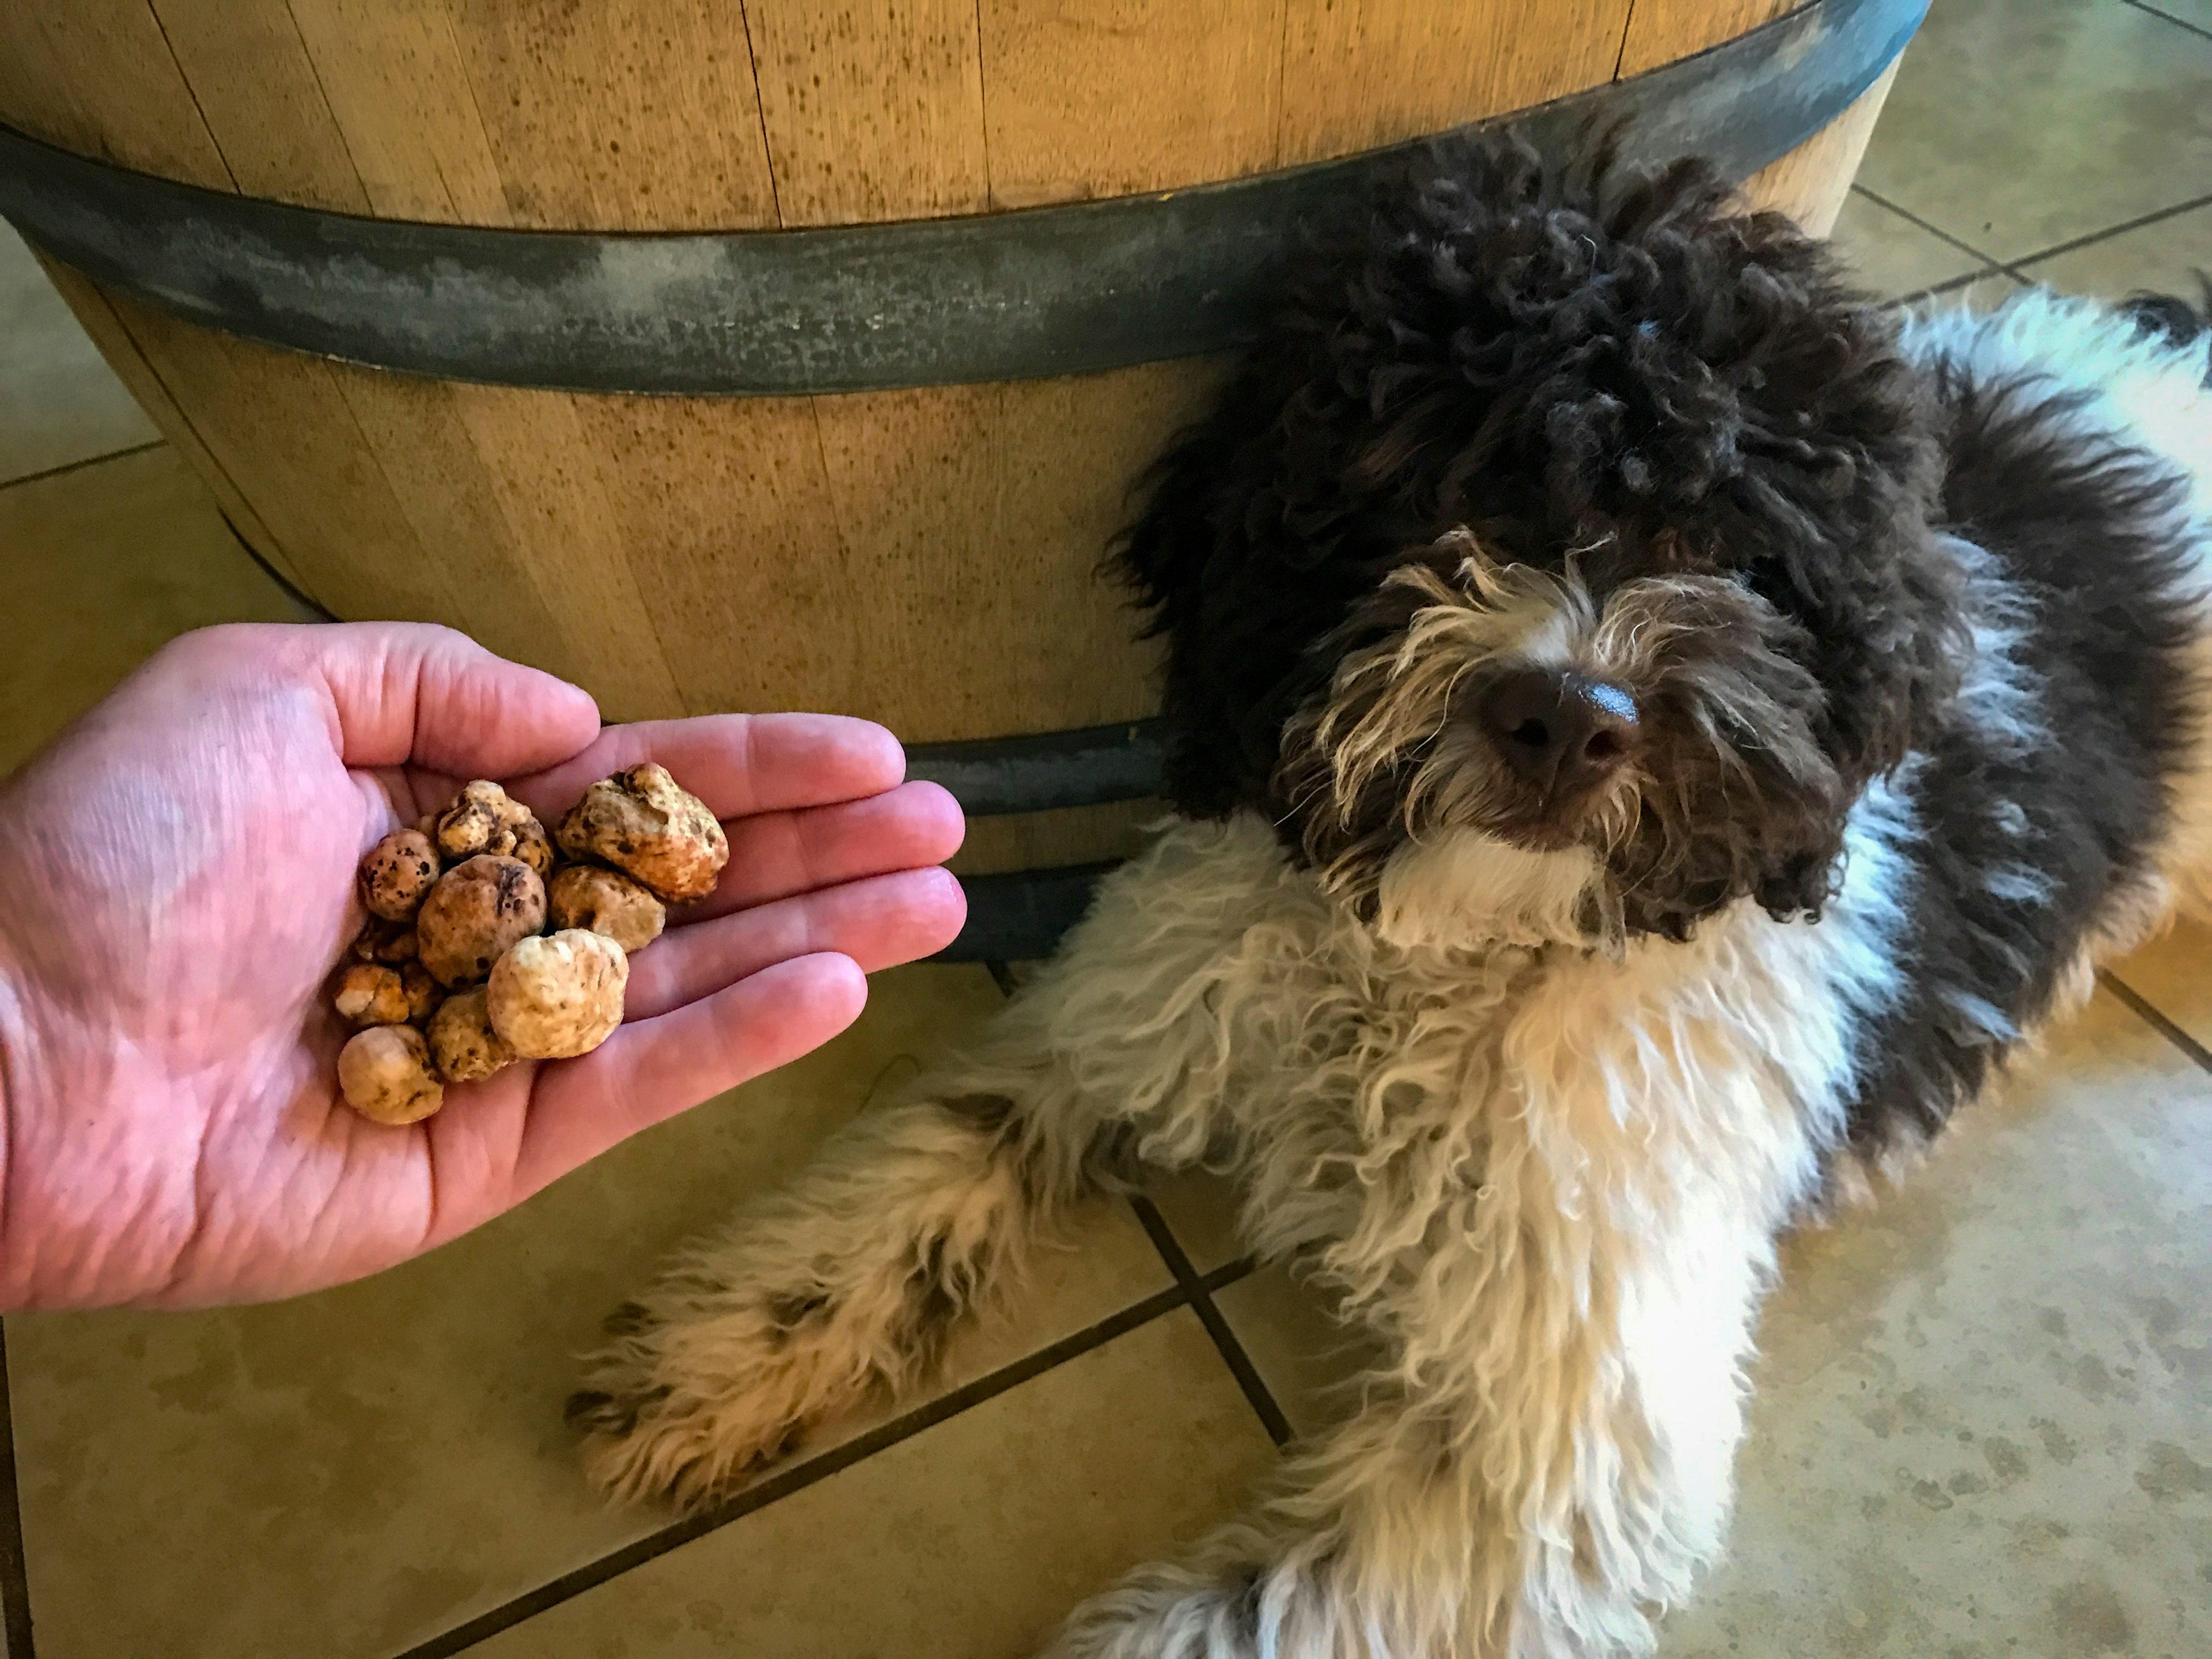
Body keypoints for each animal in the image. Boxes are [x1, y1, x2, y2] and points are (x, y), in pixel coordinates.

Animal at [562, 146, 2203, 1659]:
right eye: (1437, 490)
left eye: (1715, 542)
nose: (1566, 715)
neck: (1447, 953)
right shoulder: (1127, 1015)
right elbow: (946, 1144)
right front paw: (728, 1344)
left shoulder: (1552, 1444)